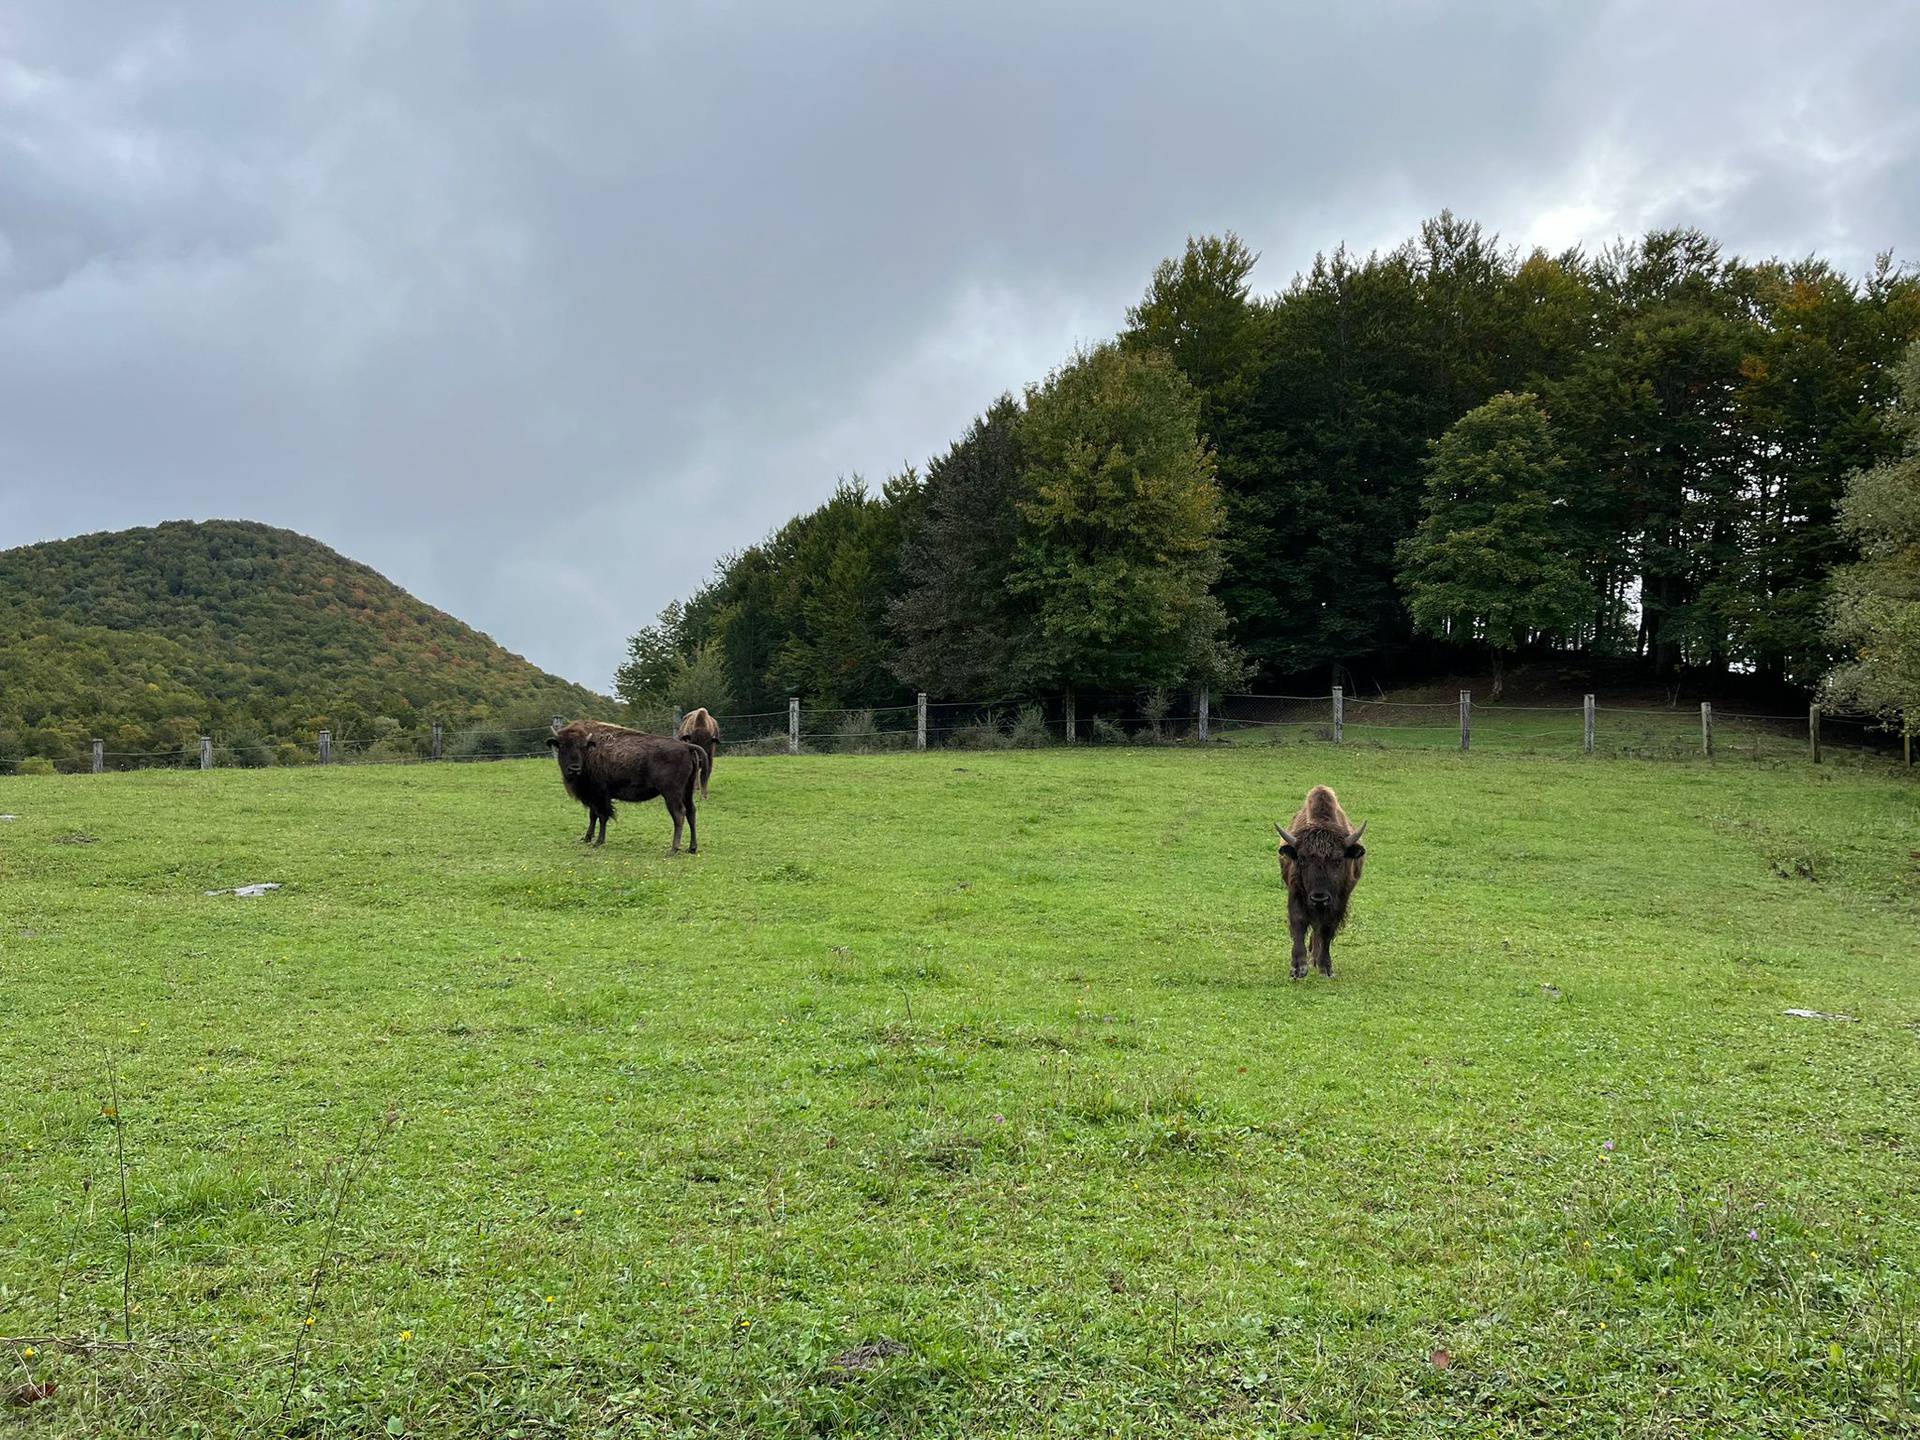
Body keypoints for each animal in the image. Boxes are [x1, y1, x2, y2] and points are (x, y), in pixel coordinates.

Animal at [545, 718, 710, 852]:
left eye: (582, 746)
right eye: (562, 746)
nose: (574, 768)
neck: (590, 752)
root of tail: (686, 747)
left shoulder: (600, 795)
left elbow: (602, 816)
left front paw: (598, 842)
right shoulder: (594, 797)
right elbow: (593, 816)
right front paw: (586, 838)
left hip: (671, 794)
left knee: (679, 814)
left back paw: (673, 849)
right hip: (687, 791)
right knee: (691, 812)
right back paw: (692, 848)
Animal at [1274, 791, 1367, 983]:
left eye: (1338, 860)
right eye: (1301, 859)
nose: (1319, 897)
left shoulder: (1338, 901)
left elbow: (1326, 930)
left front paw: (1326, 968)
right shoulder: (1296, 894)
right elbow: (1299, 923)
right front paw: (1298, 969)